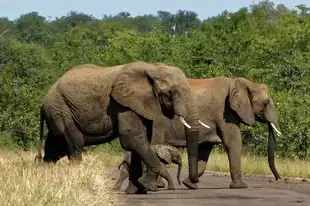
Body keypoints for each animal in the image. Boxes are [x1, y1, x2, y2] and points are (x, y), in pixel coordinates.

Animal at [34, 62, 201, 194]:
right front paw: (150, 185)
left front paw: (137, 191)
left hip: (57, 112)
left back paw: (45, 178)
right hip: (62, 110)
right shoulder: (121, 103)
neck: (152, 67)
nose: (187, 184)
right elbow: (132, 138)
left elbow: (140, 141)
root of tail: (43, 102)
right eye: (169, 93)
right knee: (75, 143)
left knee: (55, 148)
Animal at [125, 76, 280, 189]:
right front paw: (240, 187)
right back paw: (158, 185)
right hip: (157, 121)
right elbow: (233, 142)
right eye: (266, 103)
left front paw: (190, 185)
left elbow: (206, 149)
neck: (242, 82)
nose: (279, 179)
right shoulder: (225, 113)